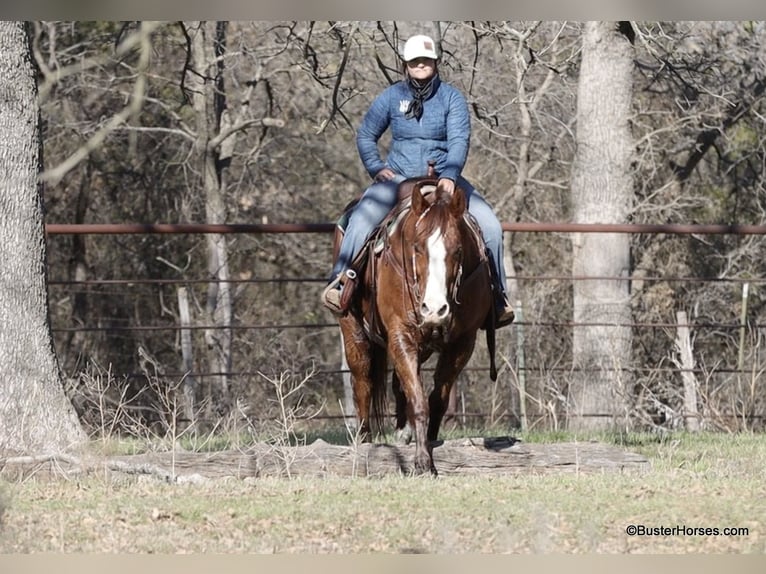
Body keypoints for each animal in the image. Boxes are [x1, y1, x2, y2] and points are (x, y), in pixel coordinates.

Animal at [332, 178, 498, 474]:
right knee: (362, 380)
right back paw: (364, 441)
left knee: (399, 385)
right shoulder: (400, 333)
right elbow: (419, 400)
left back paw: (403, 432)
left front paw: (429, 444)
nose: (434, 309)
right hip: (353, 330)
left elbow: (436, 400)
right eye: (417, 247)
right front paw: (422, 461)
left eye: (458, 250)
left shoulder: (462, 343)